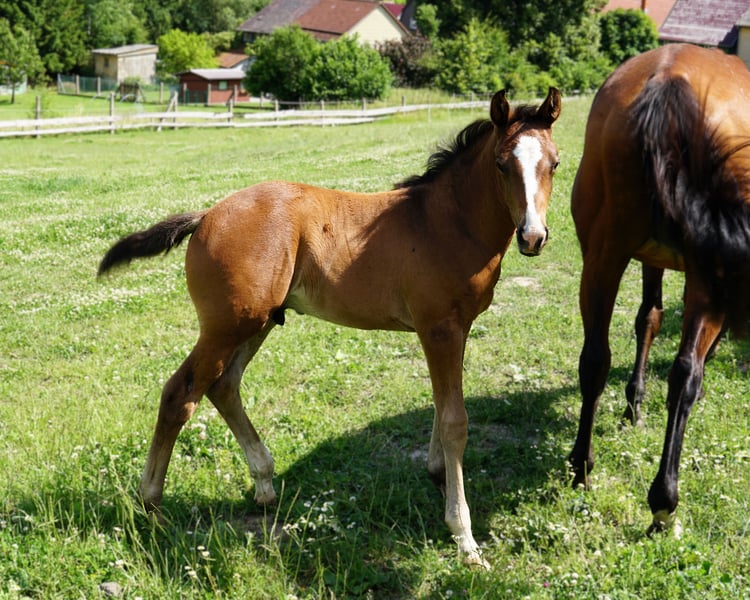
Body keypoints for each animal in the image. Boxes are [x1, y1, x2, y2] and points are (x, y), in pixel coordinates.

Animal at [98, 87, 562, 567]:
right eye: (502, 164)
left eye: (554, 163)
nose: (533, 237)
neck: (446, 221)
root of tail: (206, 214)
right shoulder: (440, 329)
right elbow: (455, 422)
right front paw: (464, 537)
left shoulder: (457, 329)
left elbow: (441, 406)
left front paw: (436, 476)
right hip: (227, 325)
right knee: (180, 394)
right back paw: (152, 505)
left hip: (256, 321)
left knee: (223, 385)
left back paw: (264, 484)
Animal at [569, 43, 750, 534]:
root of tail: (669, 79)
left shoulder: (656, 259)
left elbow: (648, 320)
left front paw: (634, 402)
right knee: (680, 370)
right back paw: (657, 498)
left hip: (603, 257)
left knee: (597, 359)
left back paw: (586, 469)